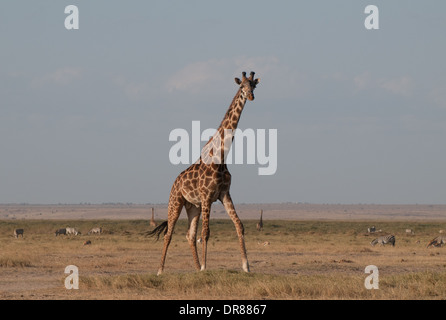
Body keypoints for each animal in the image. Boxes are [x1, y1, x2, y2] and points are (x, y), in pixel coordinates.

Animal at [150, 70, 260, 276]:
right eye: (242, 86)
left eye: (254, 85)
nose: (250, 96)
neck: (221, 157)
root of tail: (175, 182)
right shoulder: (207, 196)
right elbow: (206, 233)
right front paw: (205, 267)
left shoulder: (224, 194)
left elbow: (239, 225)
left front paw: (246, 266)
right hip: (176, 201)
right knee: (169, 233)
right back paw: (160, 270)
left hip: (193, 207)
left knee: (189, 235)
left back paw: (195, 267)